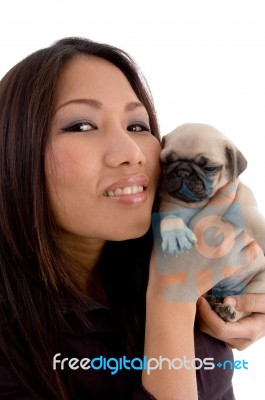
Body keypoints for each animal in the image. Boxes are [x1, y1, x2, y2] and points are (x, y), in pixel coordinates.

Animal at [158, 122, 264, 322]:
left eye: (209, 168)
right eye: (166, 162)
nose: (182, 171)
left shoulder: (245, 206)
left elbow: (256, 222)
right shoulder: (171, 205)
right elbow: (170, 218)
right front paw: (175, 236)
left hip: (258, 285)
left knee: (245, 307)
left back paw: (229, 310)